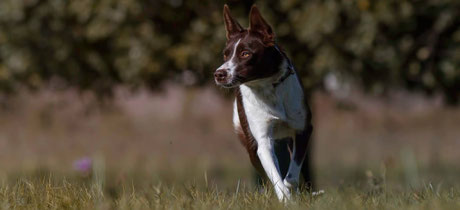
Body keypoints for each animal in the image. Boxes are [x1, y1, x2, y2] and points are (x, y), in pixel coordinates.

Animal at [215, 4, 314, 201]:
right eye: (225, 55)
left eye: (245, 54)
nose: (219, 74)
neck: (267, 86)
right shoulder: (262, 142)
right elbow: (276, 178)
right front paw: (285, 200)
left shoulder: (304, 130)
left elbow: (291, 177)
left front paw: (292, 191)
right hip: (248, 141)